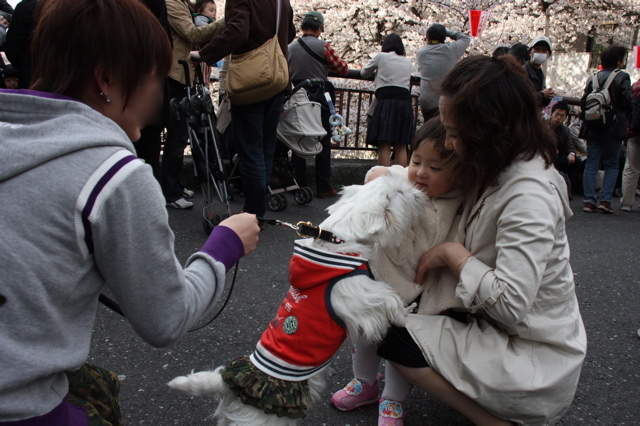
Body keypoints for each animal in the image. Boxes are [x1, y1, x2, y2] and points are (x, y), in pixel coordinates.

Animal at [168, 173, 428, 422]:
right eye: (401, 192)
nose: (420, 190)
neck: (338, 241)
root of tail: (229, 385)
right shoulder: (362, 300)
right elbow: (389, 299)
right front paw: (407, 313)